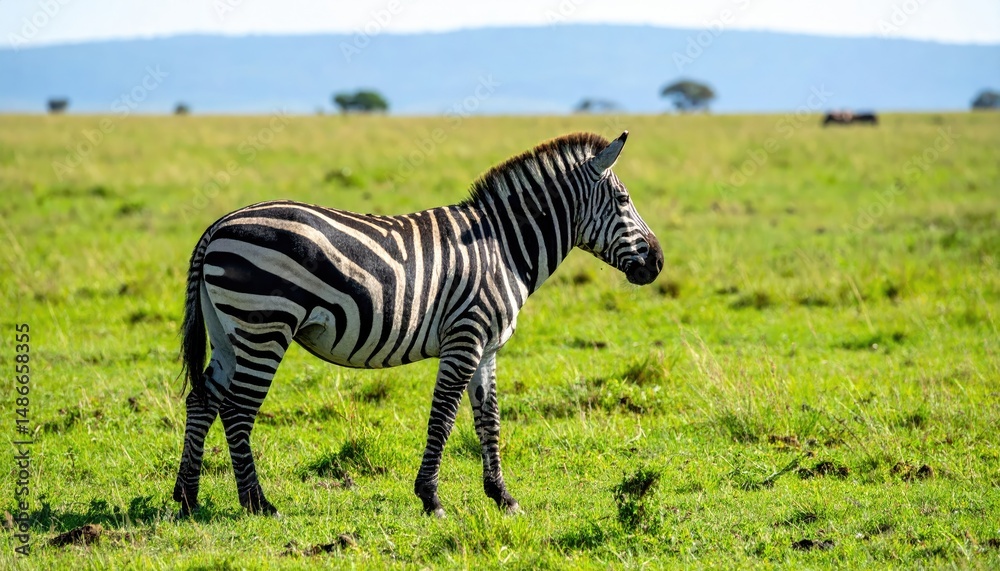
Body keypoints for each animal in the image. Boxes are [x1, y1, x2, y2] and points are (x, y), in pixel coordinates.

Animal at [173, 130, 663, 517]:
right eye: (624, 200)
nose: (657, 263)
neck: (502, 246)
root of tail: (217, 225)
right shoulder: (465, 335)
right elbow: (443, 417)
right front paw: (431, 499)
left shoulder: (486, 346)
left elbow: (489, 419)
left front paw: (502, 497)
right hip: (264, 326)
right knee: (238, 409)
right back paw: (257, 503)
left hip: (229, 333)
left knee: (203, 401)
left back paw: (188, 497)